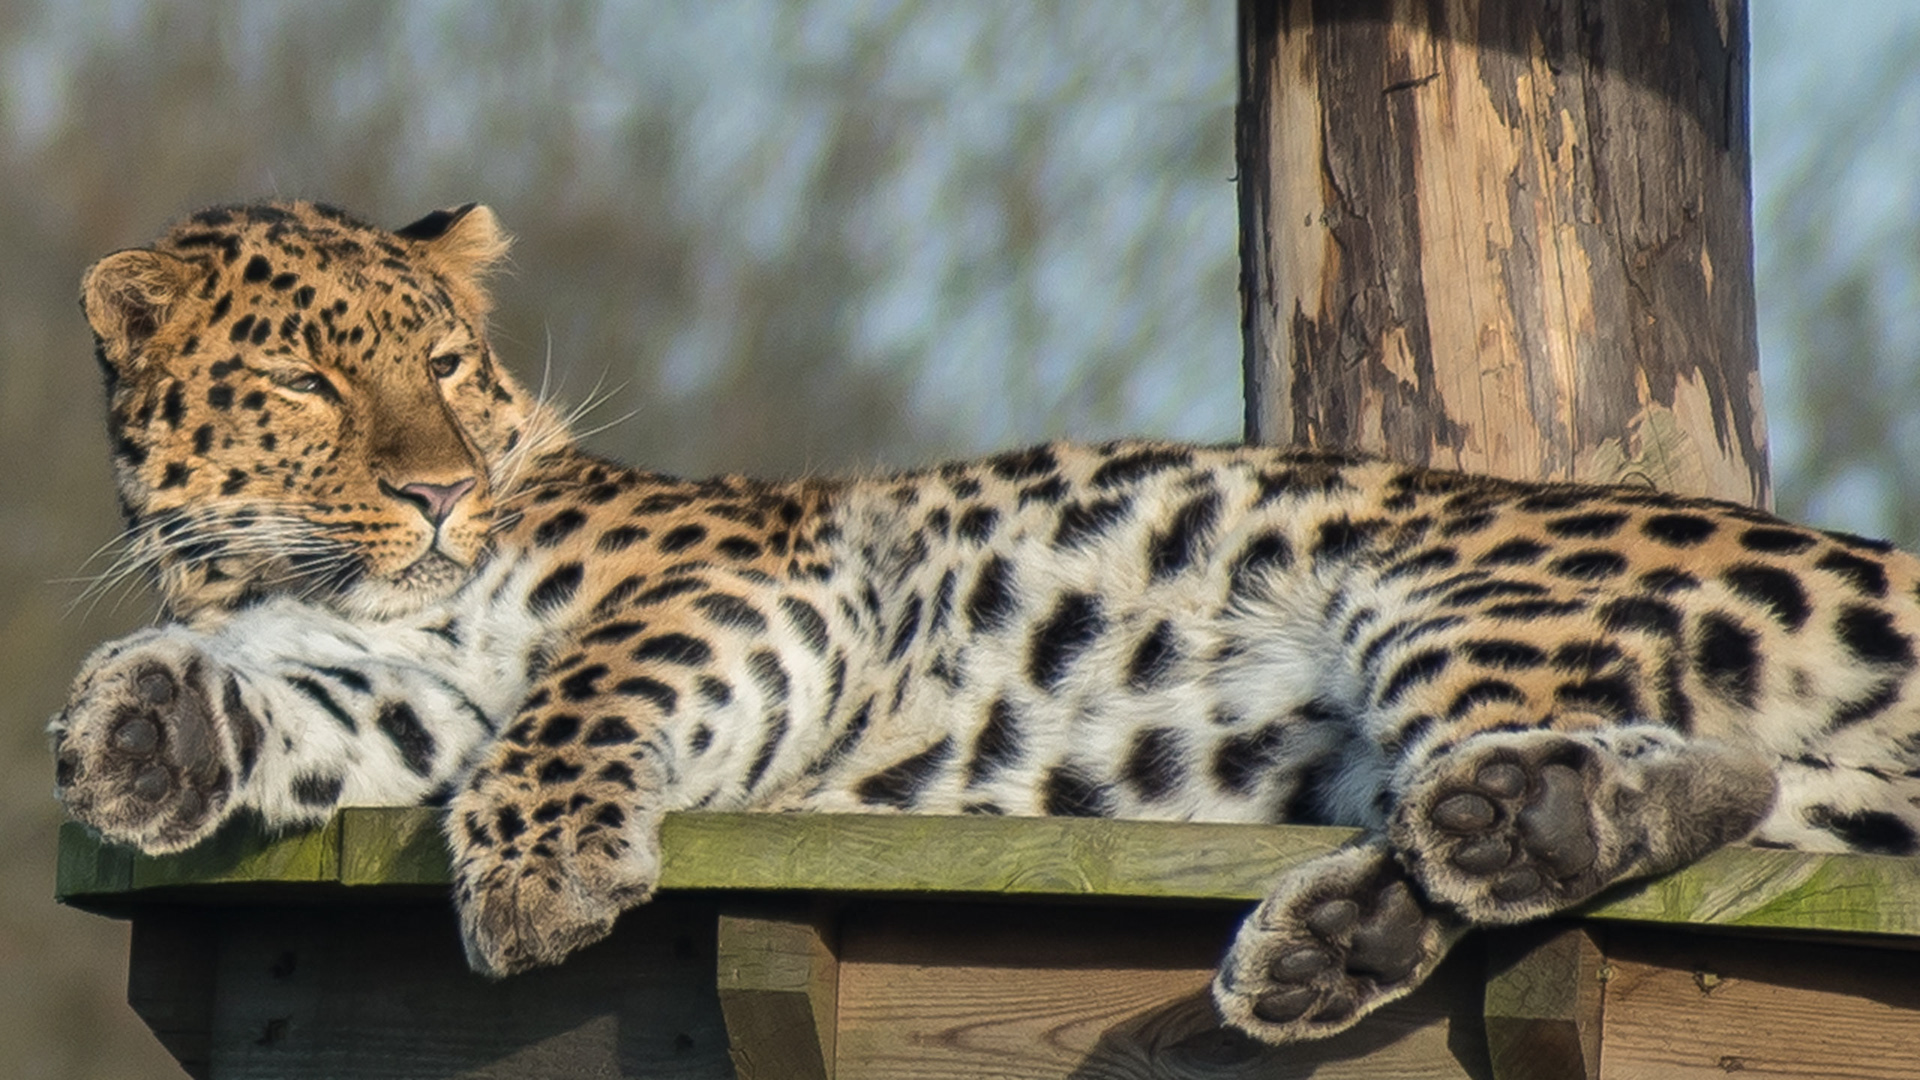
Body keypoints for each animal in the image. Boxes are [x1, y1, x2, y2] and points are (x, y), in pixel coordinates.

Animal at [48, 200, 1920, 1045]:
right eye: (307, 381)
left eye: (441, 365)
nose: (440, 493)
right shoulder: (402, 675)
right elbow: (337, 708)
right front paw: (143, 729)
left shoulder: (742, 583)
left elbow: (583, 698)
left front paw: (536, 873)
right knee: (1730, 791)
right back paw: (1353, 932)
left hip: (1446, 582)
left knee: (1658, 765)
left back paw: (1486, 840)